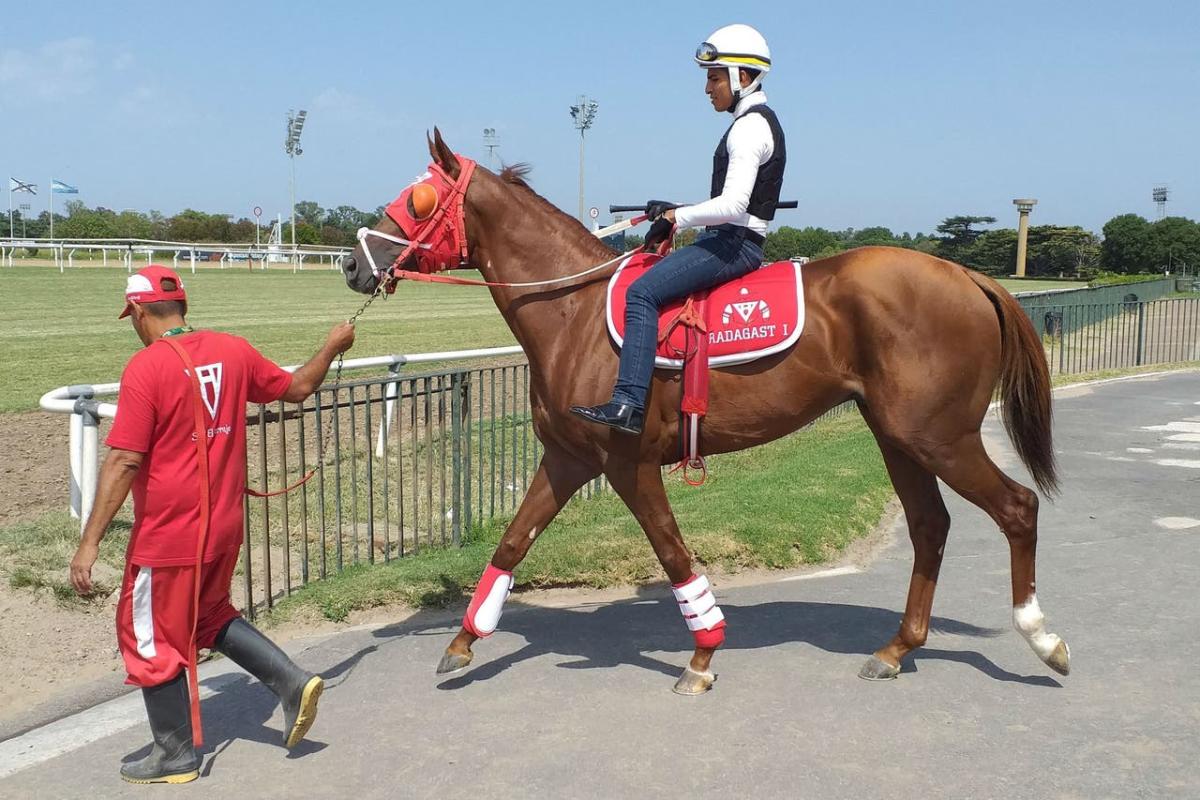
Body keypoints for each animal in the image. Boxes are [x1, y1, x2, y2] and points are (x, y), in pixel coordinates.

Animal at [340, 131, 1070, 695]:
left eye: (419, 198)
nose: (352, 263)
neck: (574, 313)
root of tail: (966, 275)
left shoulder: (628, 462)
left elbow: (671, 552)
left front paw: (703, 652)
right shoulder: (569, 458)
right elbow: (513, 541)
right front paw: (463, 642)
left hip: (939, 436)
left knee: (1016, 508)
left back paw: (1042, 638)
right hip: (899, 437)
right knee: (930, 526)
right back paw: (897, 649)